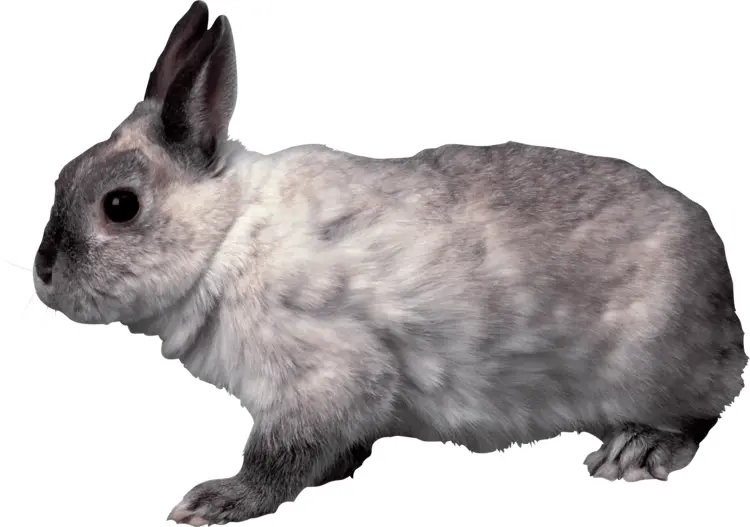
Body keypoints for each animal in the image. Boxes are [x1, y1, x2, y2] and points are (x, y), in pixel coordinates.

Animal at [32, 1, 746, 525]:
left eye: (120, 206)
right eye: (63, 176)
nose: (43, 276)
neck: (225, 239)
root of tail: (726, 307)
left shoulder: (324, 379)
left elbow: (275, 459)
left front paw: (215, 501)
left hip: (651, 364)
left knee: (702, 414)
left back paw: (638, 449)